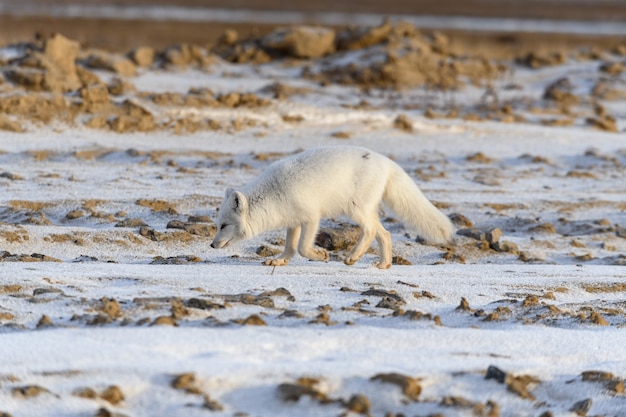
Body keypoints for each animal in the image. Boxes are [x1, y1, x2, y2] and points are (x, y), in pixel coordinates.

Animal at [212, 146, 450, 268]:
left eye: (224, 225)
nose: (212, 245)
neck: (274, 193)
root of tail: (387, 161)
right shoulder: (293, 221)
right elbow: (290, 247)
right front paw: (279, 261)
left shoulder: (311, 217)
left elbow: (302, 247)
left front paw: (321, 255)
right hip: (367, 211)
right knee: (385, 233)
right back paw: (384, 264)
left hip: (356, 209)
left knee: (370, 231)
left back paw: (352, 257)